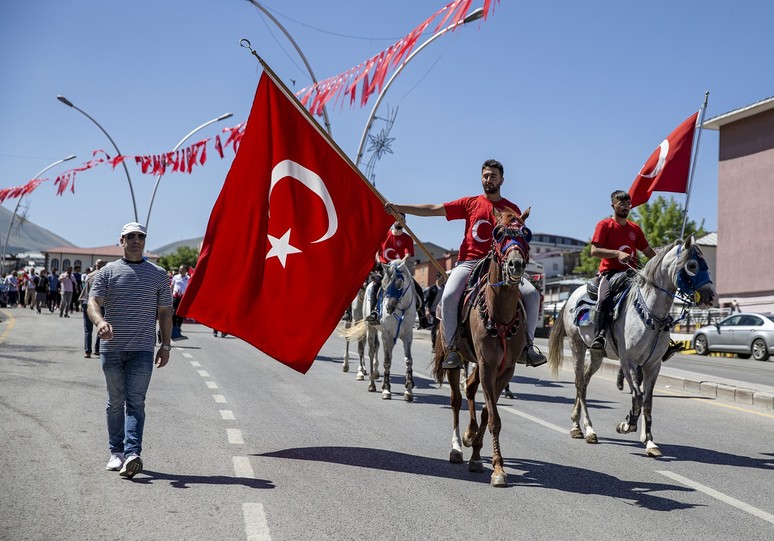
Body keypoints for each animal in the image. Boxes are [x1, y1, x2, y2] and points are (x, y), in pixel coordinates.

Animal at [434, 207, 532, 486]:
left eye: (527, 233)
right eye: (497, 233)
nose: (515, 264)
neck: (500, 318)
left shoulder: (504, 368)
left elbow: (489, 413)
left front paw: (479, 455)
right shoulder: (488, 365)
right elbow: (494, 418)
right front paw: (497, 469)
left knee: (469, 389)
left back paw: (468, 436)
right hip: (456, 358)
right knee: (456, 399)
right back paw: (457, 446)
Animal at [548, 236, 720, 456]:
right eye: (692, 266)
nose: (711, 297)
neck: (651, 315)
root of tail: (572, 296)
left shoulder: (653, 365)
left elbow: (647, 401)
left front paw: (650, 442)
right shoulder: (628, 362)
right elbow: (637, 396)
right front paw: (626, 425)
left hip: (596, 354)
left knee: (584, 383)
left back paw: (577, 425)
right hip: (577, 346)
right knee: (579, 384)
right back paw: (587, 429)